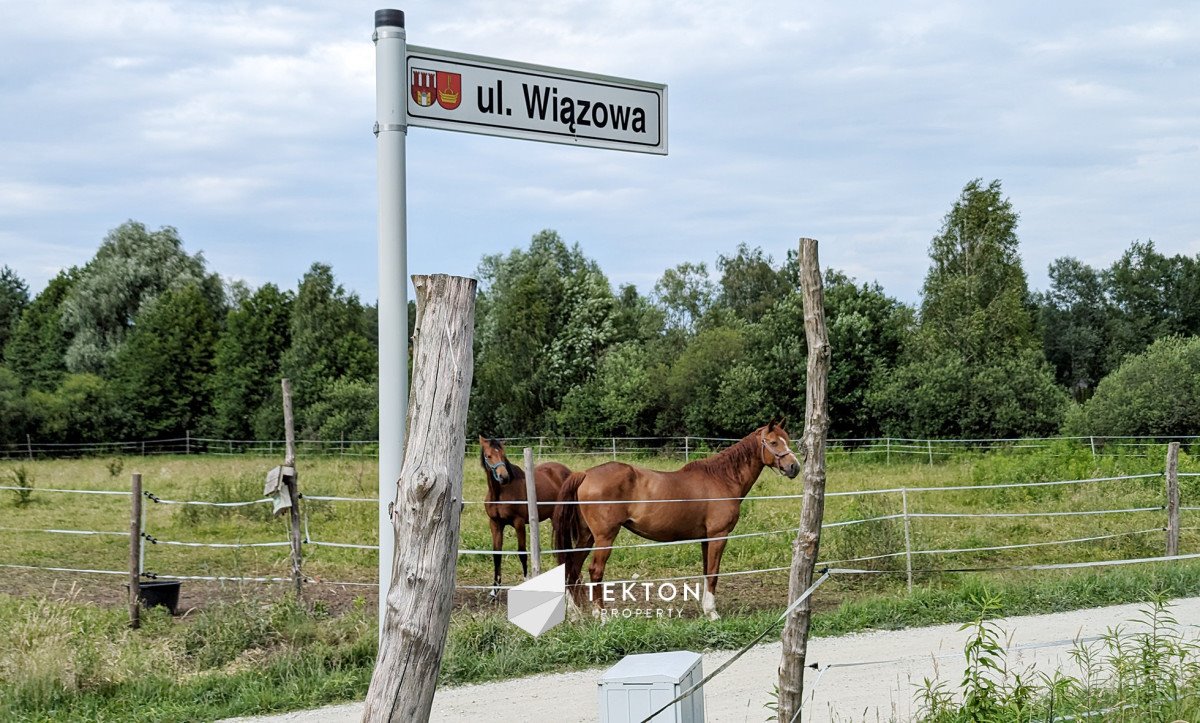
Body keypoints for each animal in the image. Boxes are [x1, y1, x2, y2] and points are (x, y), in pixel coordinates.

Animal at [477, 437, 571, 593]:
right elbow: (497, 554)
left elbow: (522, 552)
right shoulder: (495, 524)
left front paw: (526, 580)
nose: (504, 477)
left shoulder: (518, 522)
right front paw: (495, 589)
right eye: (488, 456)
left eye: (503, 454)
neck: (499, 493)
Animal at [552, 420, 796, 614]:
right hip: (604, 537)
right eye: (773, 442)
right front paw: (712, 613)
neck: (722, 479)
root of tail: (585, 474)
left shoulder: (706, 539)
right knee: (595, 571)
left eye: (787, 440)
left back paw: (574, 615)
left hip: (587, 536)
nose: (794, 466)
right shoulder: (718, 536)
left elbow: (706, 572)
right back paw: (601, 617)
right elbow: (714, 573)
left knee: (572, 567)